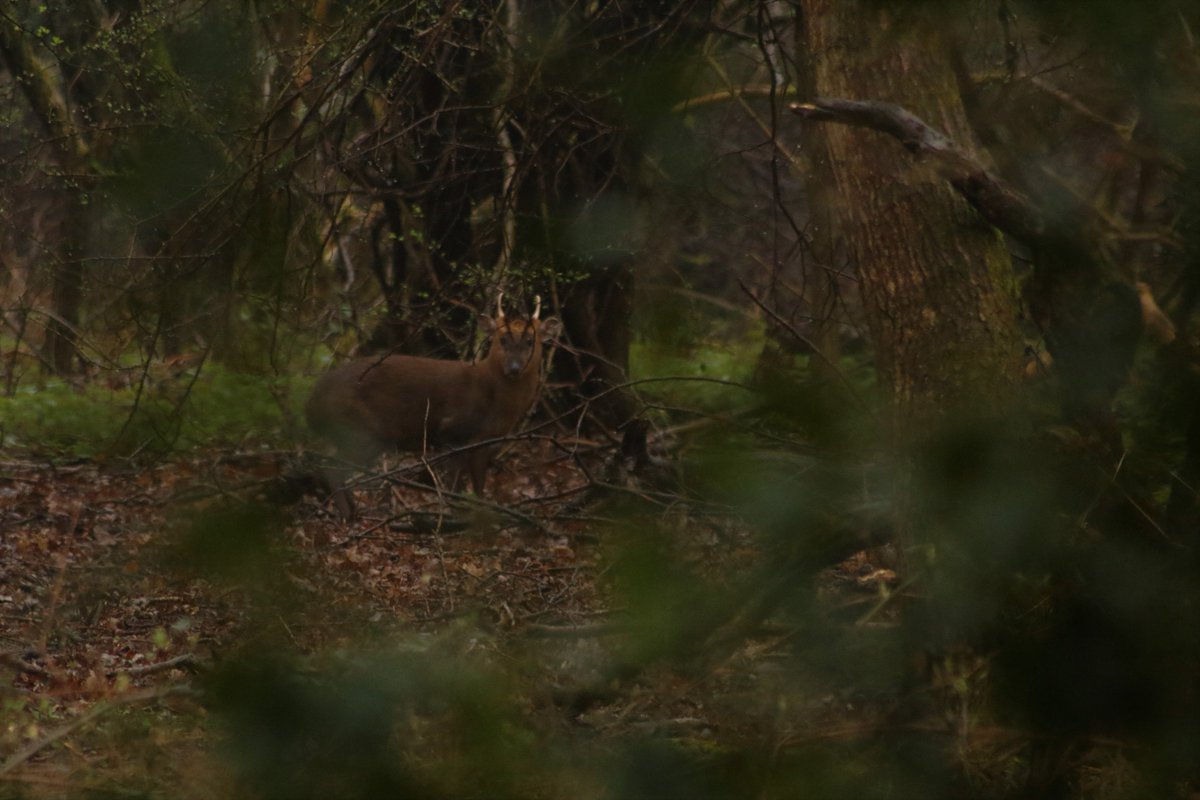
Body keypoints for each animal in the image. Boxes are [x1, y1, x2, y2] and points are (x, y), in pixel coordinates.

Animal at [305, 295, 562, 519]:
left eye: (530, 341)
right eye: (502, 339)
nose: (515, 368)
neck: (496, 402)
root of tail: (312, 400)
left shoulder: (484, 441)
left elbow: (479, 486)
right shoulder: (452, 431)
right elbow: (454, 485)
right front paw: (451, 513)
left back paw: (354, 512)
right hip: (359, 428)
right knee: (331, 467)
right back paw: (348, 516)